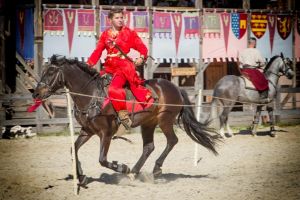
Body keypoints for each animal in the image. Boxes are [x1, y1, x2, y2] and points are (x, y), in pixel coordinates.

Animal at [33, 54, 220, 186]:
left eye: (51, 72)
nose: (36, 93)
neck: (92, 96)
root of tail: (174, 87)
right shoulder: (87, 131)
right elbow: (74, 150)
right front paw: (82, 177)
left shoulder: (106, 134)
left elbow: (102, 159)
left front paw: (122, 167)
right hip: (148, 124)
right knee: (149, 147)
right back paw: (135, 172)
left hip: (165, 121)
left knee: (172, 141)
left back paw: (155, 168)